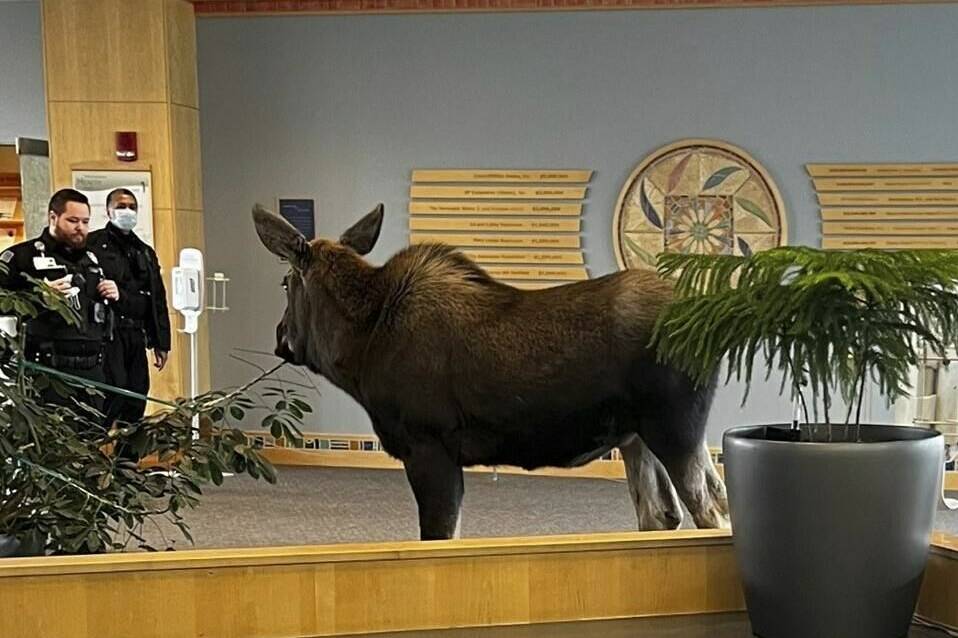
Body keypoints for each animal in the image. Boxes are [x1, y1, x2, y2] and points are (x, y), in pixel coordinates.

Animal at [251, 205, 732, 540]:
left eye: (285, 283)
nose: (279, 336)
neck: (359, 348)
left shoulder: (428, 446)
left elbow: (440, 535)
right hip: (638, 437)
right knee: (665, 514)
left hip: (675, 429)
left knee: (711, 509)